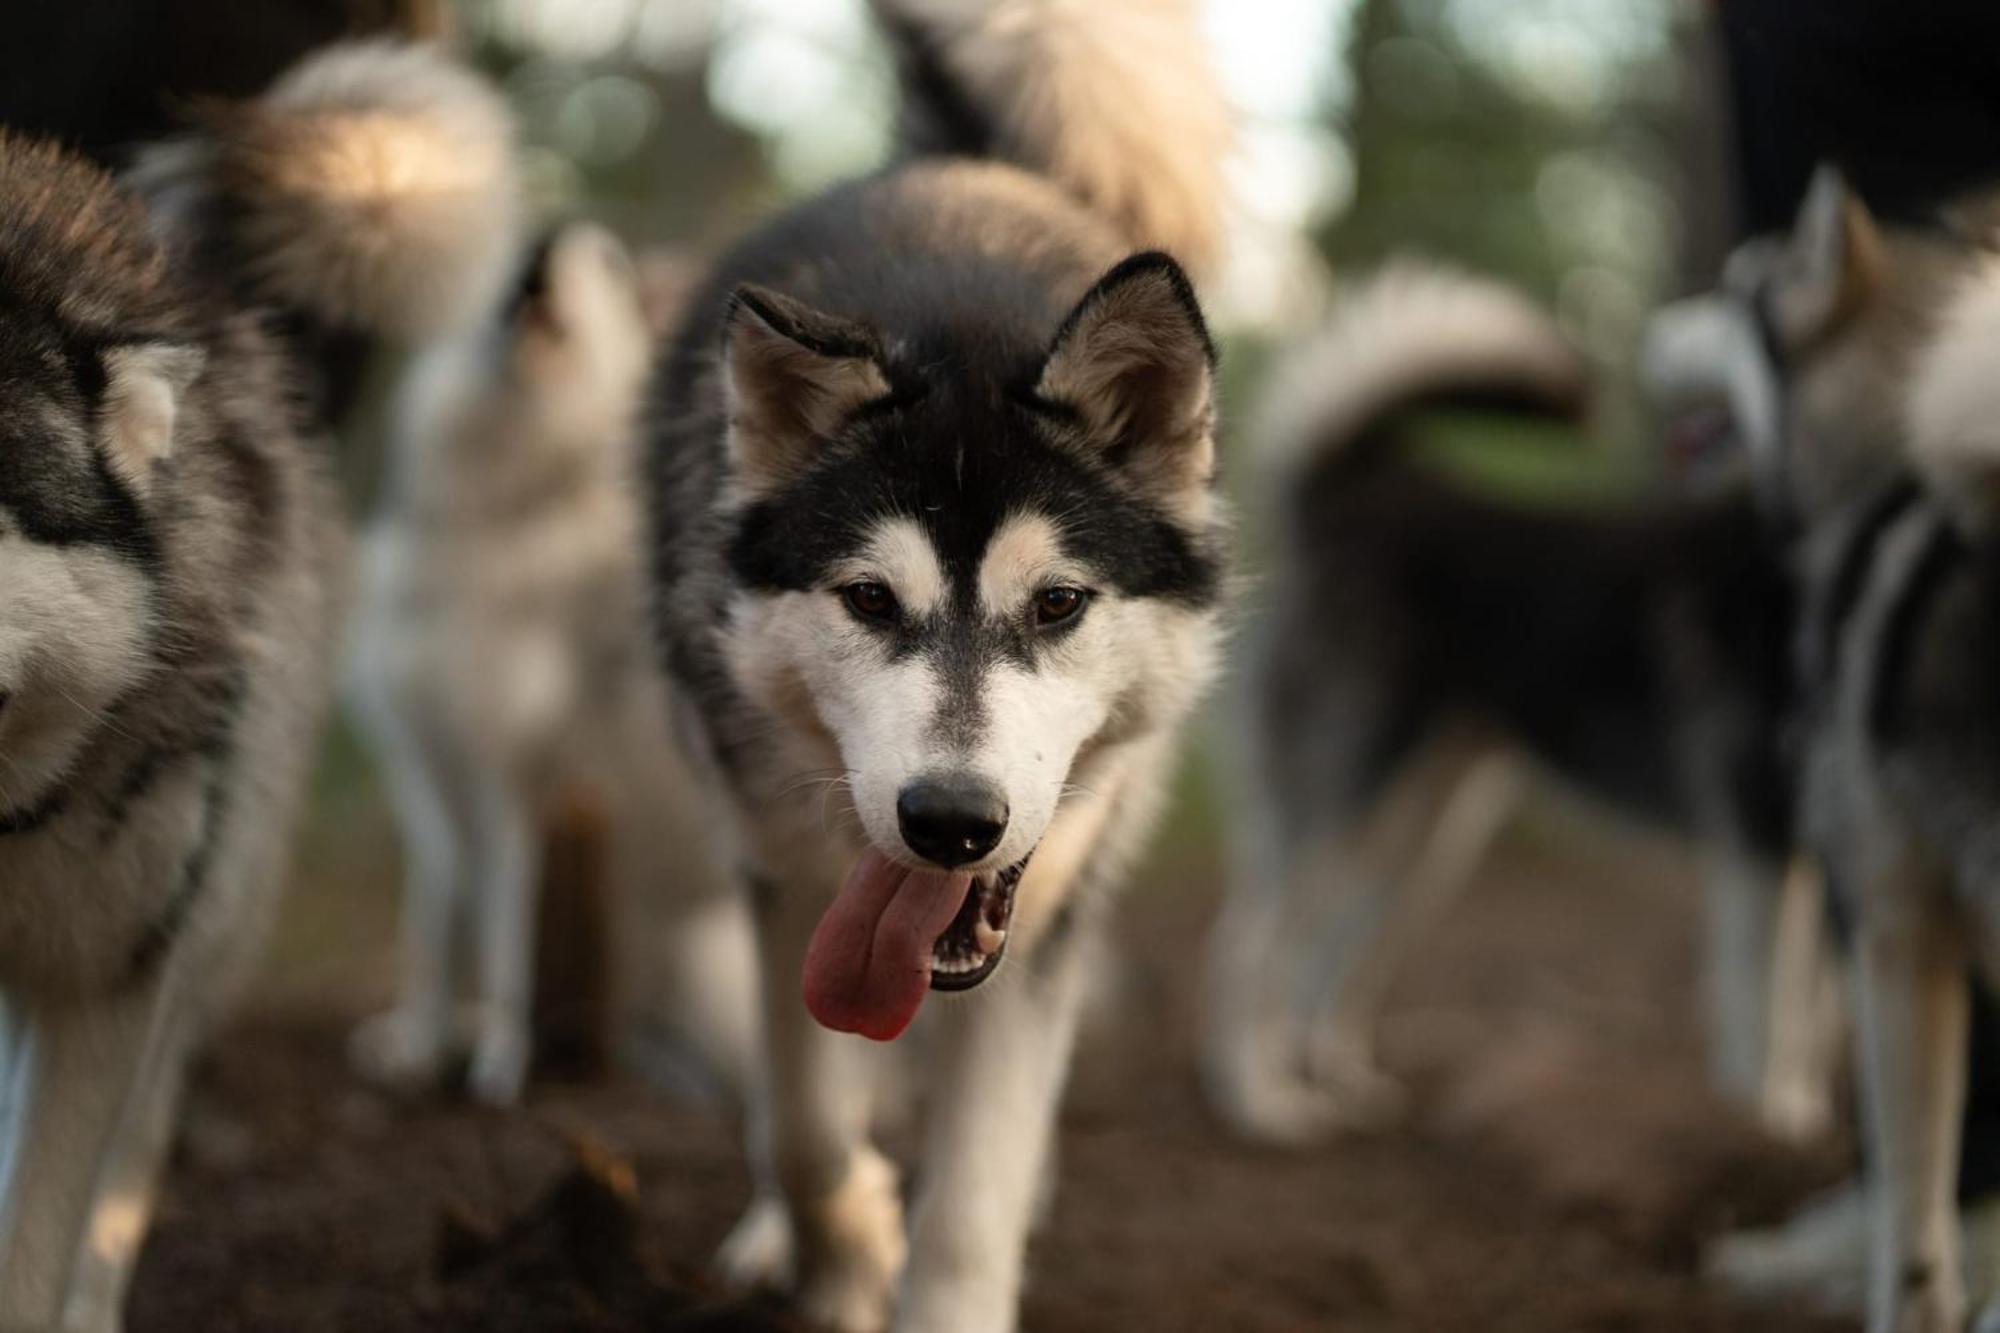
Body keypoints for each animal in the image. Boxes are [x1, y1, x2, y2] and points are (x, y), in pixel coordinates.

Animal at [344, 220, 756, 1096]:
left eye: (605, 259)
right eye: (514, 235)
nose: (543, 240)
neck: (501, 508)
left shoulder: (524, 785)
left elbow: (510, 943)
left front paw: (502, 1064)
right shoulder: (432, 785)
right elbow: (432, 936)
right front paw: (423, 1042)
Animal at [644, 2, 1232, 1328]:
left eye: (1058, 602)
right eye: (869, 599)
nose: (951, 821)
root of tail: (957, 163)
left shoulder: (1047, 906)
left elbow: (970, 1195)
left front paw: (939, 1259)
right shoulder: (776, 871)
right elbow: (802, 1124)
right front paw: (845, 1242)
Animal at [1192, 268, 1832, 1144]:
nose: (1661, 346)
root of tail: (1366, 485)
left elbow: (1804, 1013)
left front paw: (1795, 1112)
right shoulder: (1757, 842)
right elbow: (1766, 1009)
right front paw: (1766, 1121)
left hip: (1416, 839)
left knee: (1331, 956)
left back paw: (1337, 1076)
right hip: (1344, 814)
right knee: (1249, 947)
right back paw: (1262, 1104)